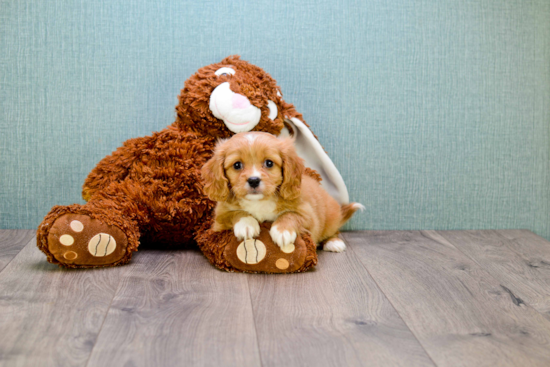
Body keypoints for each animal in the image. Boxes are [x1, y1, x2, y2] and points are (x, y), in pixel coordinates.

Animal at [201, 132, 364, 253]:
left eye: (269, 163)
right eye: (237, 165)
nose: (253, 180)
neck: (259, 201)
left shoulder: (309, 216)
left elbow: (290, 214)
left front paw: (282, 230)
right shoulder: (219, 218)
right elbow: (236, 213)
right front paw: (247, 225)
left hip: (331, 218)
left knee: (333, 230)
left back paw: (334, 242)